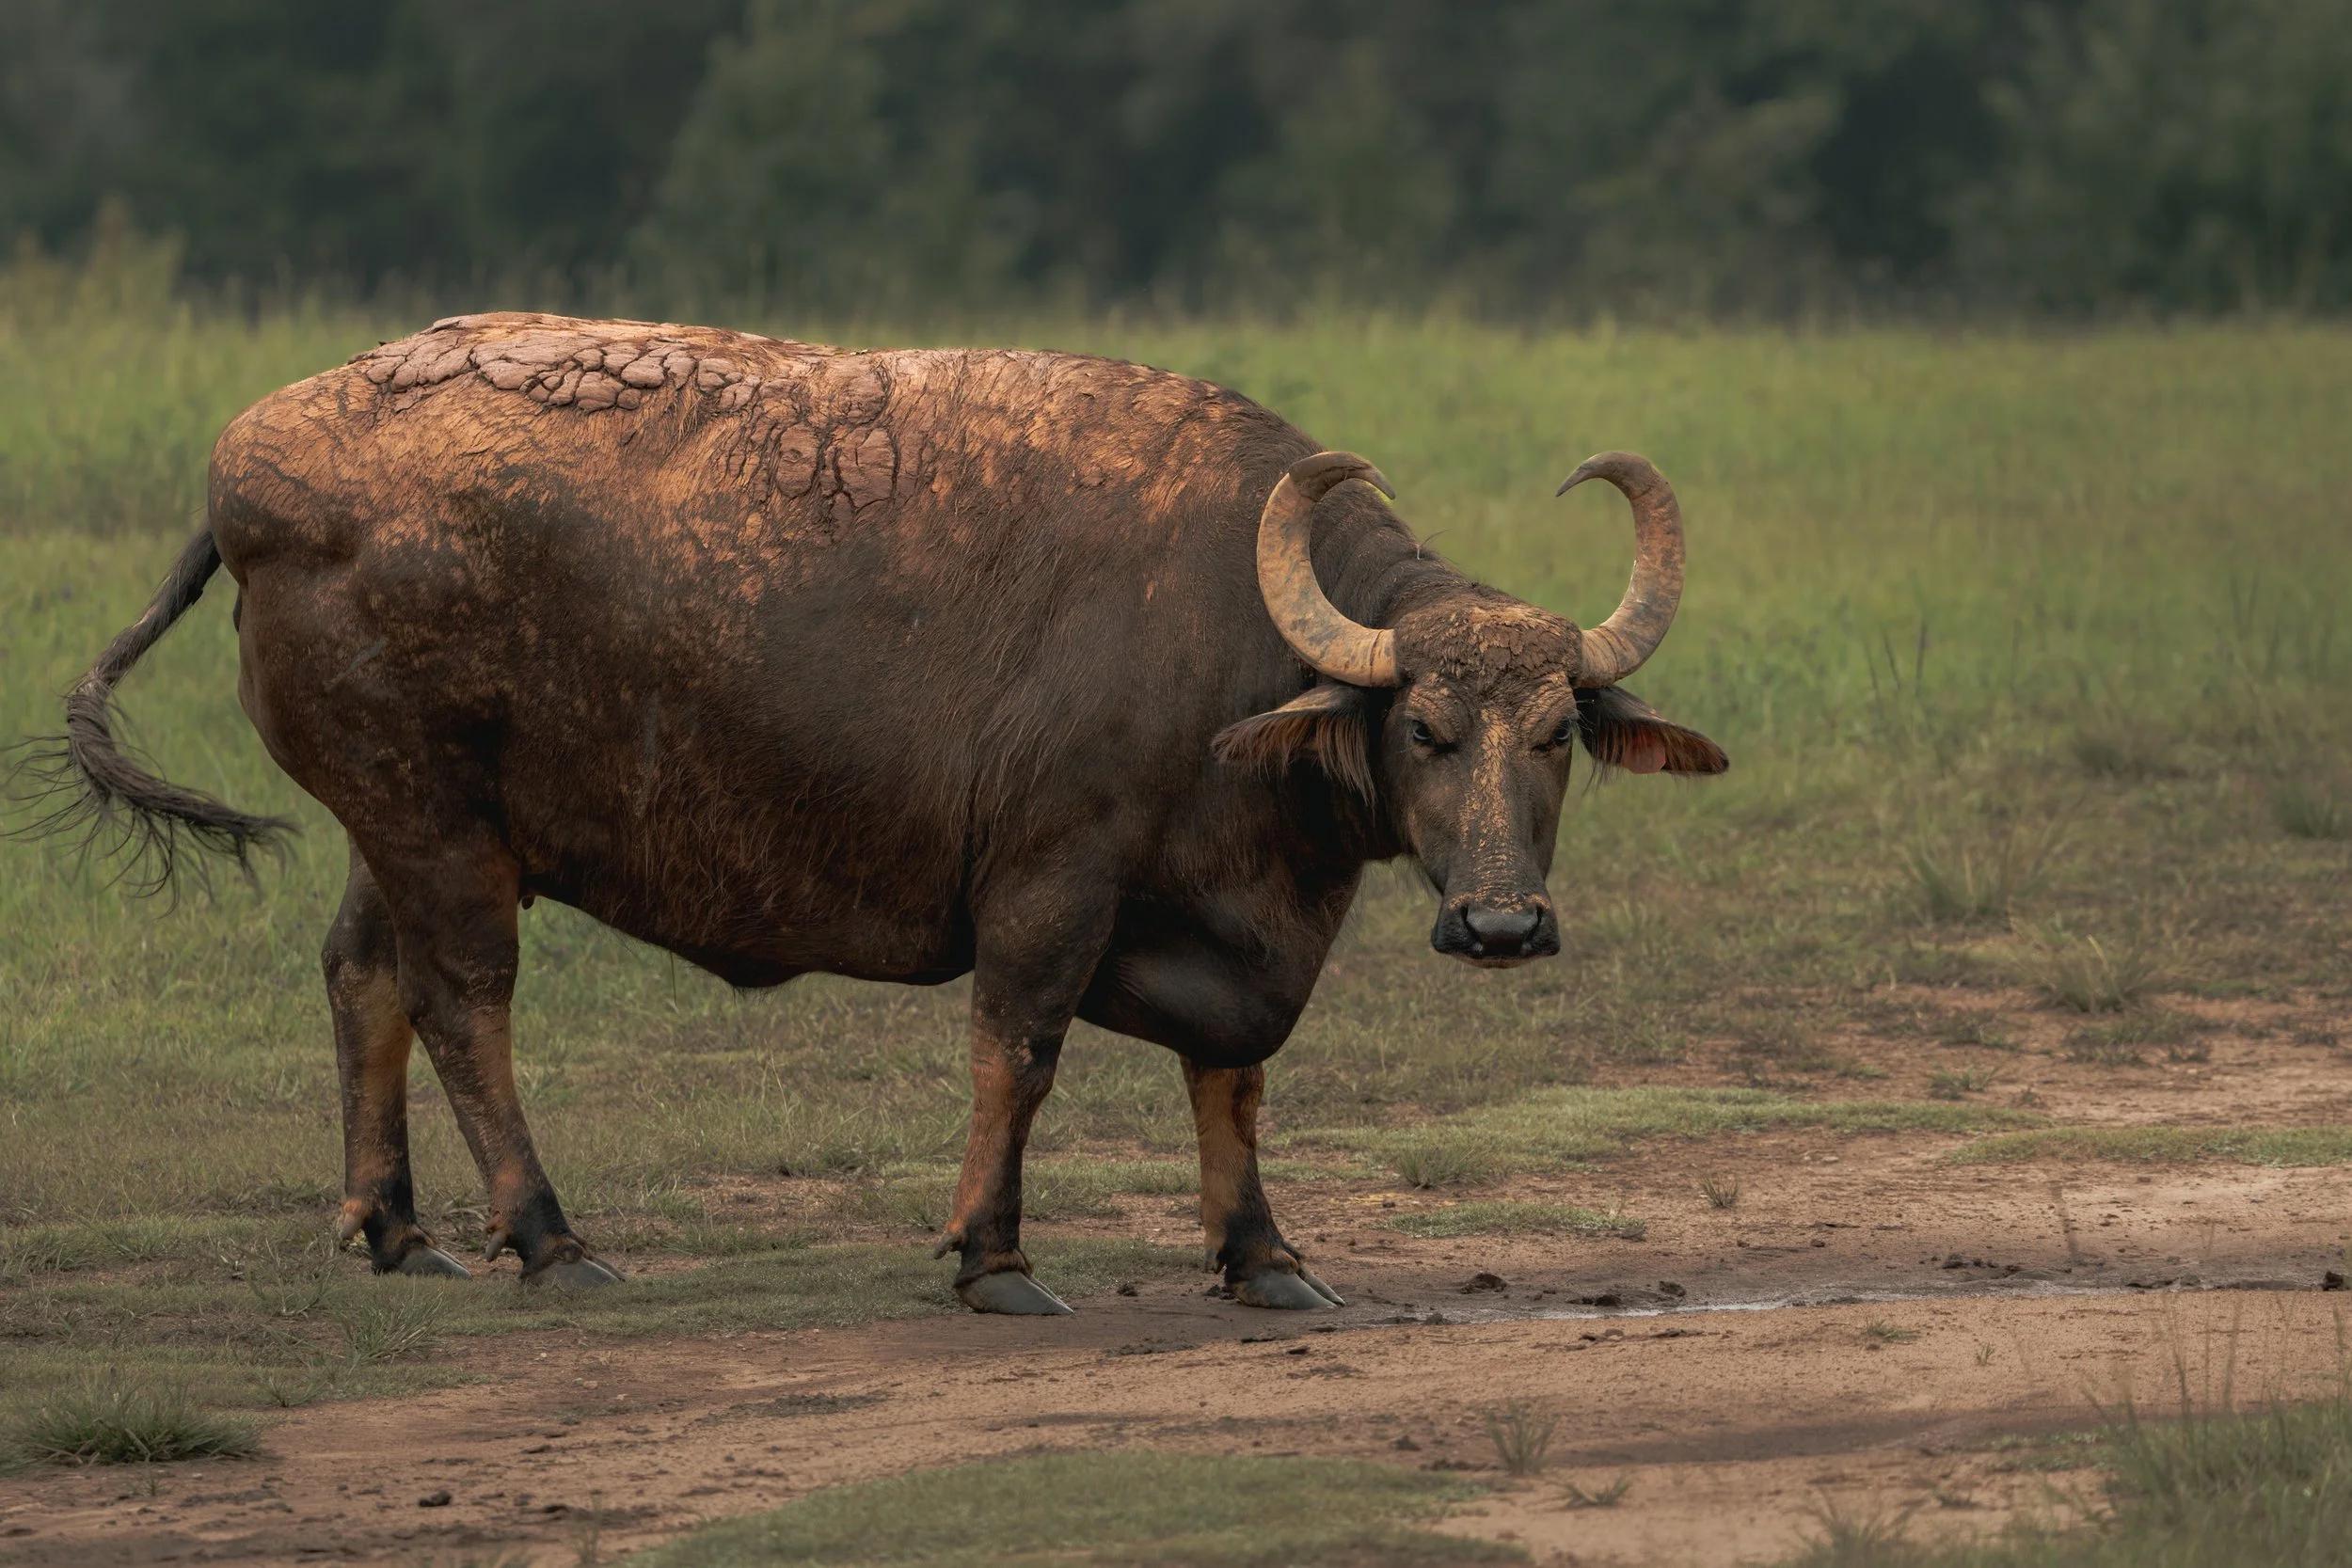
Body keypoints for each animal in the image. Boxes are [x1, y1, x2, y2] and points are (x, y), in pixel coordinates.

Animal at [21, 313, 1724, 1313]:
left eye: (1557, 737)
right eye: (1424, 729)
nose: (1499, 922)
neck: (1231, 637)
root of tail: (249, 472)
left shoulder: (1242, 922)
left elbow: (1233, 1075)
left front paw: (1264, 1256)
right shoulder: (1052, 876)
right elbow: (1018, 1050)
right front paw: (992, 1254)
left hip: (405, 820)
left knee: (362, 973)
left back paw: (391, 1224)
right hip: (435, 819)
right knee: (462, 1000)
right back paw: (550, 1234)